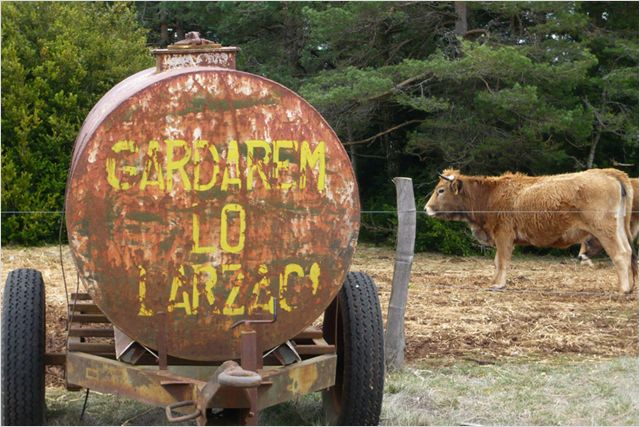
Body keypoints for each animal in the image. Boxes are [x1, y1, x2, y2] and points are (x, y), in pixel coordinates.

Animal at [424, 167, 636, 294]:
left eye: (441, 190)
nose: (426, 208)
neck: (491, 195)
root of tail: (609, 173)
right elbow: (497, 261)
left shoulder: (503, 235)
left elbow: (501, 261)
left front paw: (498, 284)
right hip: (618, 228)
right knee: (629, 252)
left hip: (605, 229)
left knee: (620, 254)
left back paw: (623, 288)